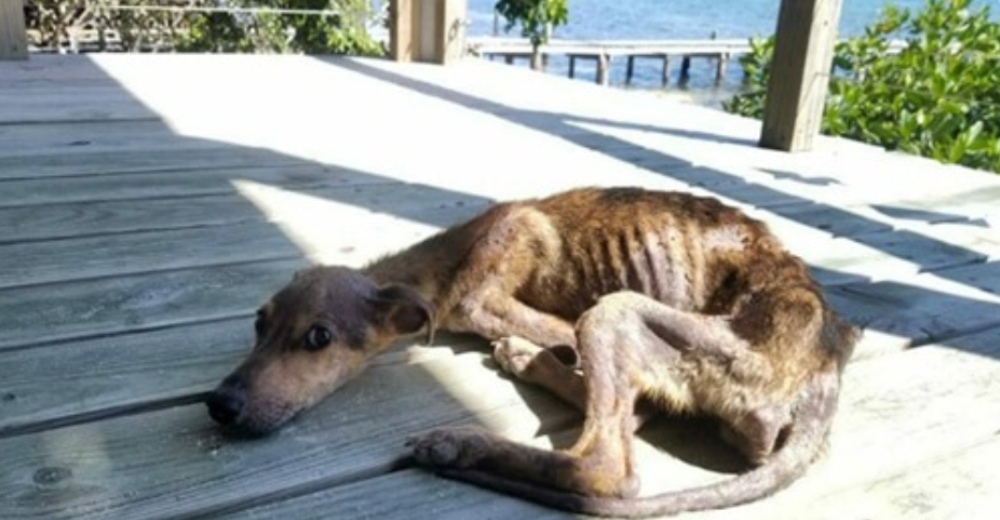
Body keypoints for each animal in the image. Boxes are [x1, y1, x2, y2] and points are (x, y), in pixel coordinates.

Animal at [205, 186, 860, 516]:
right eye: (258, 324)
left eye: (318, 337)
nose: (220, 404)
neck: (449, 256)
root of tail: (825, 365)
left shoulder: (482, 299)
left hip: (616, 311)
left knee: (609, 466)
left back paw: (468, 432)